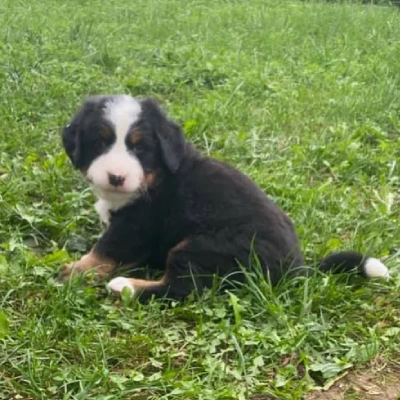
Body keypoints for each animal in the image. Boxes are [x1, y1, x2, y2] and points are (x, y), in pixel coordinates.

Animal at [57, 95, 390, 302]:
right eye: (100, 142)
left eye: (140, 148)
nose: (116, 176)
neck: (159, 176)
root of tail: (294, 268)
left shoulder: (136, 225)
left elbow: (105, 249)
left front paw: (75, 271)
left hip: (199, 246)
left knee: (181, 288)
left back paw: (125, 286)